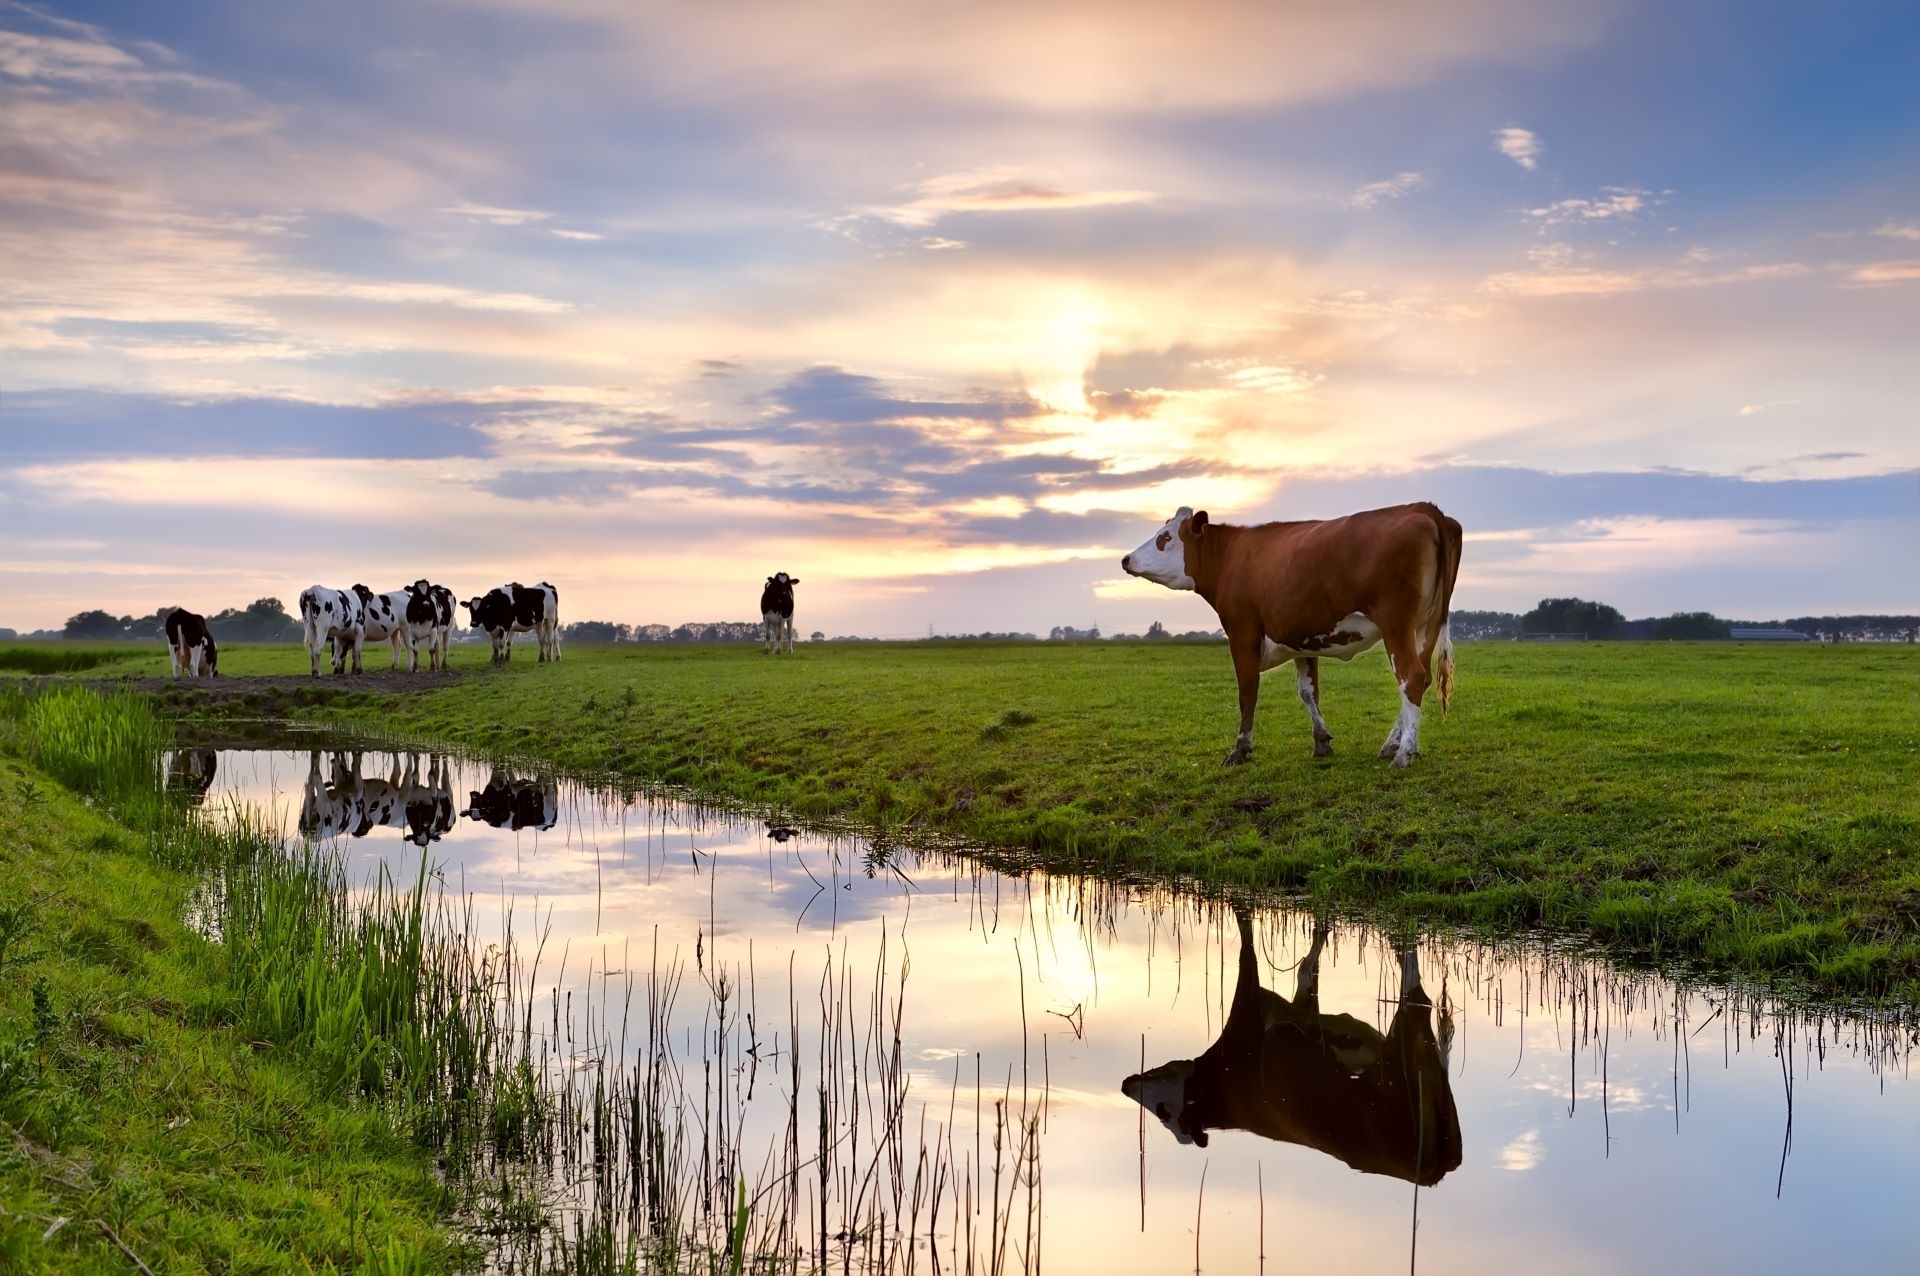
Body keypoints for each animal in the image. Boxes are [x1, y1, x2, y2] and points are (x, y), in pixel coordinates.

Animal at [1121, 498, 1459, 767]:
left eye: (1165, 537)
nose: (1126, 559)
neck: (1232, 555)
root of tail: (1421, 507)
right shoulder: (1302, 640)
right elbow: (1308, 691)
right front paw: (1321, 741)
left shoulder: (1243, 632)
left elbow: (1248, 692)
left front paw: (1240, 750)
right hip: (1424, 628)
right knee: (1422, 678)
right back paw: (1392, 745)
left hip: (1396, 624)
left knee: (1410, 677)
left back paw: (1404, 753)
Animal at [1121, 905, 1459, 1181]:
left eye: (1163, 1112)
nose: (1125, 1086)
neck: (1225, 1091)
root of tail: (1427, 1174)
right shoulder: (1296, 1010)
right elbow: (1307, 971)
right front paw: (1322, 929)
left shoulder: (1246, 1014)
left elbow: (1247, 940)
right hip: (1427, 1068)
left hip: (1403, 1056)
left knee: (1415, 993)